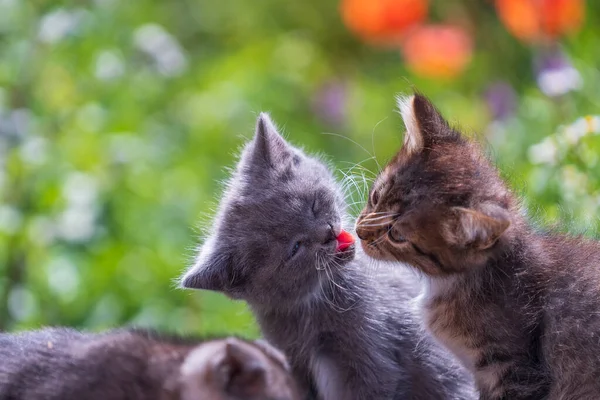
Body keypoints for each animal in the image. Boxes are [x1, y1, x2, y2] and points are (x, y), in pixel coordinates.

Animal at [180, 113, 476, 400]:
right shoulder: (294, 360)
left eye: (312, 205)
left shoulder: (370, 349)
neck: (314, 309)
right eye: (295, 247)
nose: (328, 232)